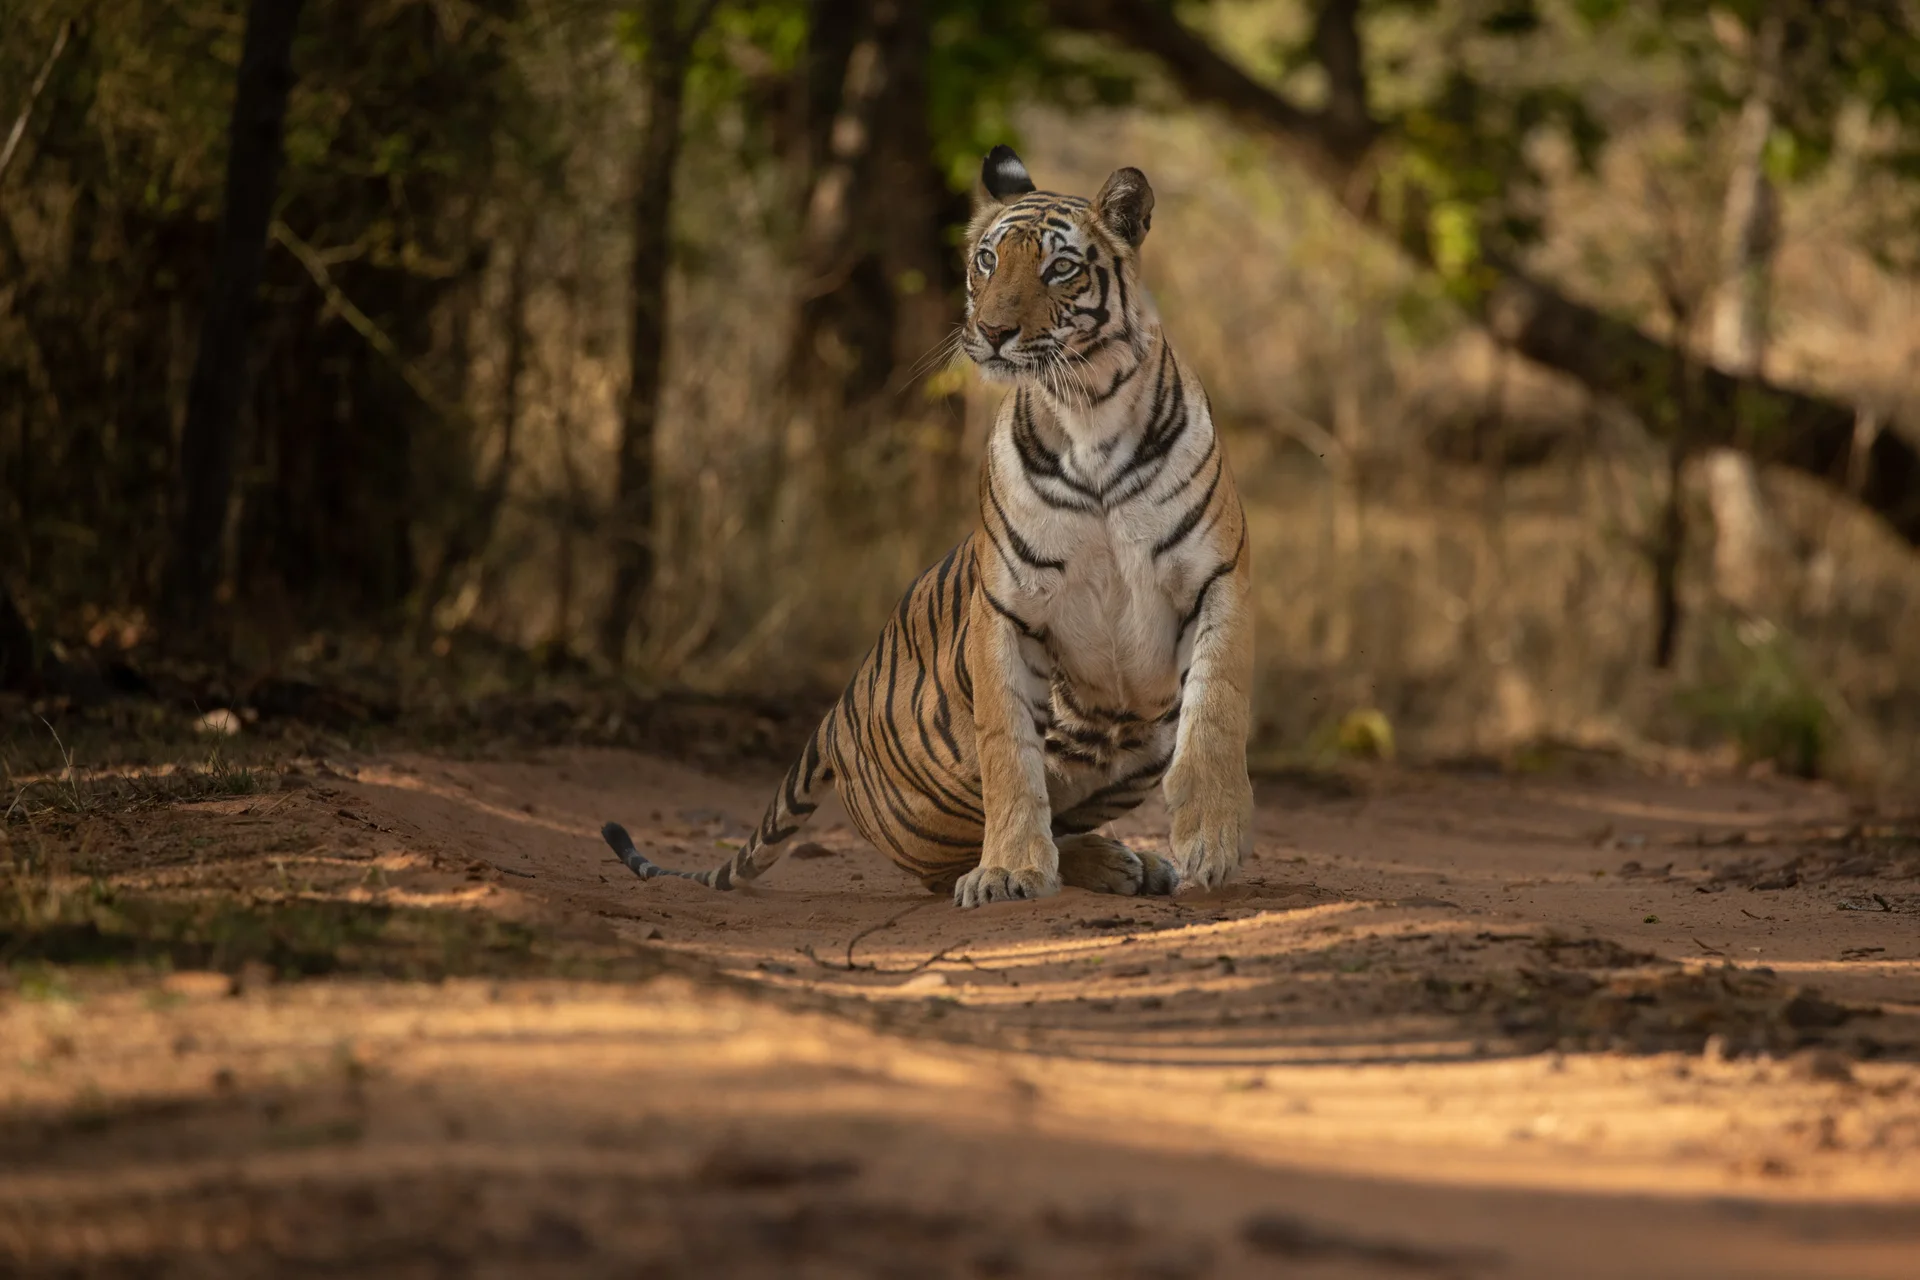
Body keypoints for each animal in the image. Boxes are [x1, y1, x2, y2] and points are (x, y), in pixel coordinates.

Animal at [600, 144, 1254, 908]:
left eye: (1060, 268)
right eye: (987, 261)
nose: (993, 332)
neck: (1087, 410)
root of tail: (833, 717)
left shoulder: (1218, 576)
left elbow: (1216, 713)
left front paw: (1212, 843)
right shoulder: (1006, 607)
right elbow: (1009, 753)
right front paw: (1009, 872)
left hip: (1145, 740)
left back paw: (1134, 863)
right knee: (965, 854)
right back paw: (1100, 864)